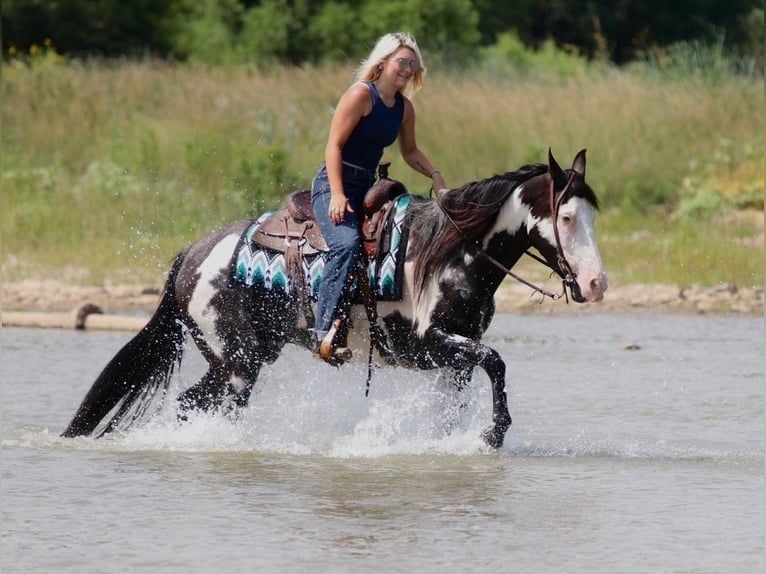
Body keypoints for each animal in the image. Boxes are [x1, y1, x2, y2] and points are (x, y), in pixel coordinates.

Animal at [61, 149, 607, 448]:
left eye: (592, 216)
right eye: (565, 217)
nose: (597, 283)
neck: (452, 250)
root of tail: (193, 255)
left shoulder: (454, 358)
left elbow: (461, 398)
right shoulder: (430, 343)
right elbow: (497, 362)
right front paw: (494, 434)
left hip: (237, 360)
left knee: (187, 403)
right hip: (237, 365)